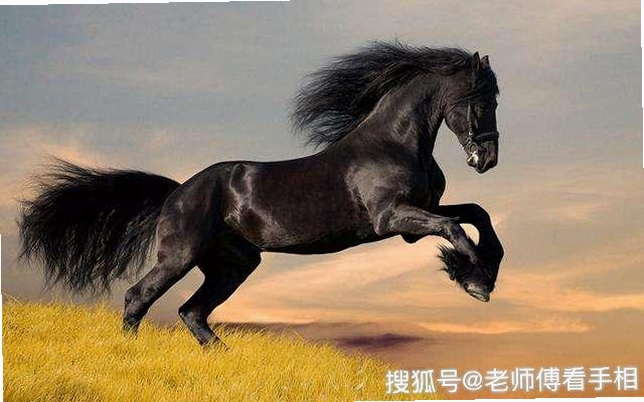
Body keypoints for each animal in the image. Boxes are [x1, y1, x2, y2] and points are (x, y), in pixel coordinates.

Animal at [18, 41, 504, 347]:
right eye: (483, 100)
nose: (488, 159)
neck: (394, 143)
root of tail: (177, 192)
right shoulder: (393, 219)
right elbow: (455, 227)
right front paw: (475, 281)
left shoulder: (415, 218)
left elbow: (476, 214)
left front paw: (482, 272)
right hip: (180, 256)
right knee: (139, 297)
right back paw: (132, 353)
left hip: (233, 264)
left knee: (192, 312)